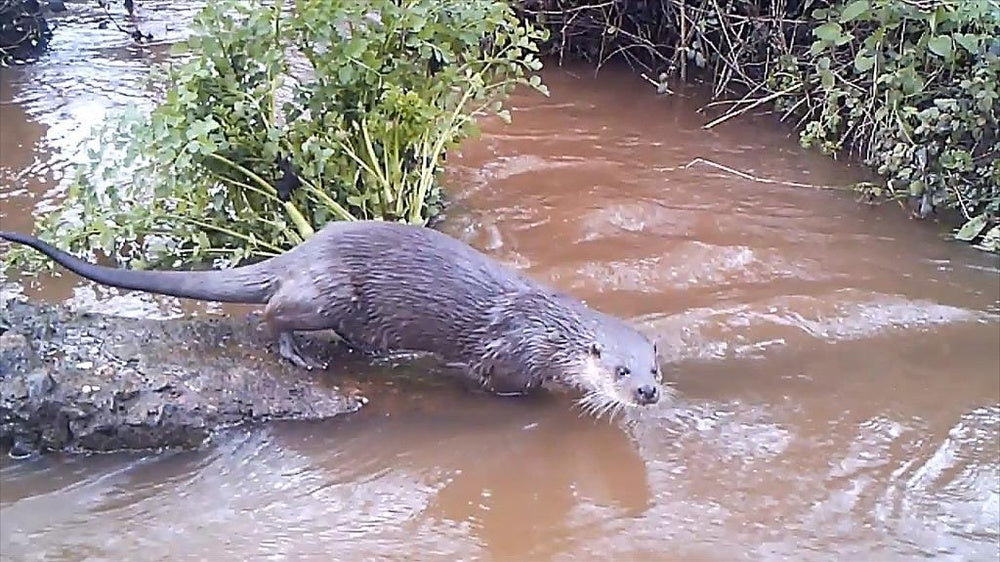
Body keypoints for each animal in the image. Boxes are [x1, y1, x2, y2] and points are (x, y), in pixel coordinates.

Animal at [1, 219, 672, 412]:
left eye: (653, 370)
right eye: (619, 371)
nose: (645, 393)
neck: (550, 331)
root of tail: (303, 252)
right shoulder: (507, 354)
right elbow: (498, 383)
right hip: (326, 293)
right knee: (273, 313)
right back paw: (294, 353)